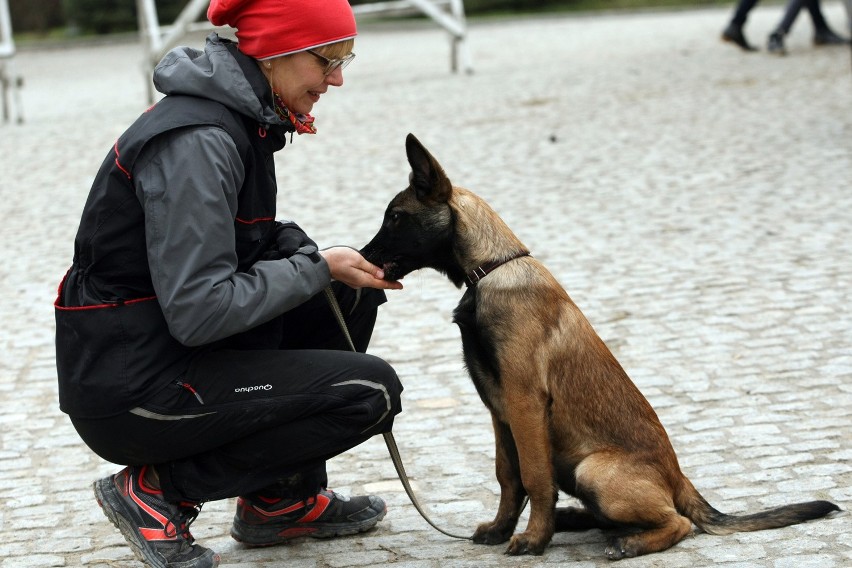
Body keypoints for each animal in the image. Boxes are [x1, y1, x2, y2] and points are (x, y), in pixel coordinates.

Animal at [360, 134, 840, 560]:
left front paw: (533, 539)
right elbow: (508, 476)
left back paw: (624, 542)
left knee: (679, 523)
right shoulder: (500, 412)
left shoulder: (524, 402)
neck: (491, 269)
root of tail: (680, 478)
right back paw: (573, 520)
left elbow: (534, 477)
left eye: (395, 217)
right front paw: (500, 529)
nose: (361, 255)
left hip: (592, 471)